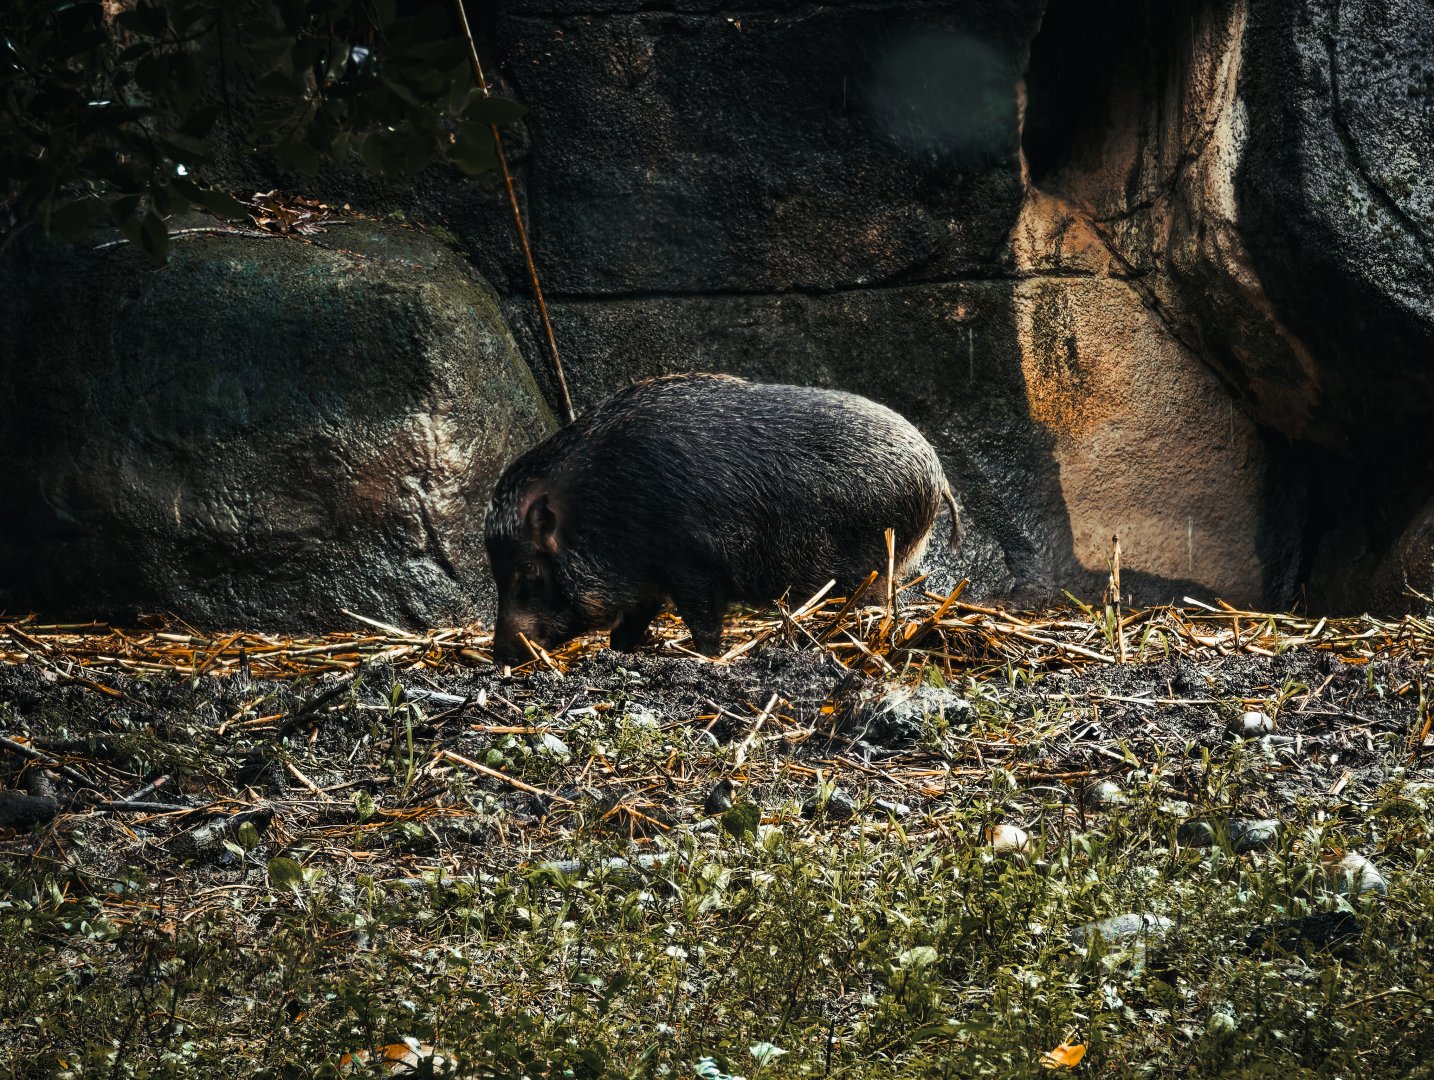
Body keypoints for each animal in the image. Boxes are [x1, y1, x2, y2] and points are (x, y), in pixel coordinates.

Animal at [484, 373, 962, 667]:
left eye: (527, 567)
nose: (499, 654)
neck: (605, 502)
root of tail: (937, 475)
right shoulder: (648, 579)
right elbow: (629, 627)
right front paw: (619, 653)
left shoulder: (691, 563)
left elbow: (703, 624)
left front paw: (709, 660)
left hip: (875, 559)